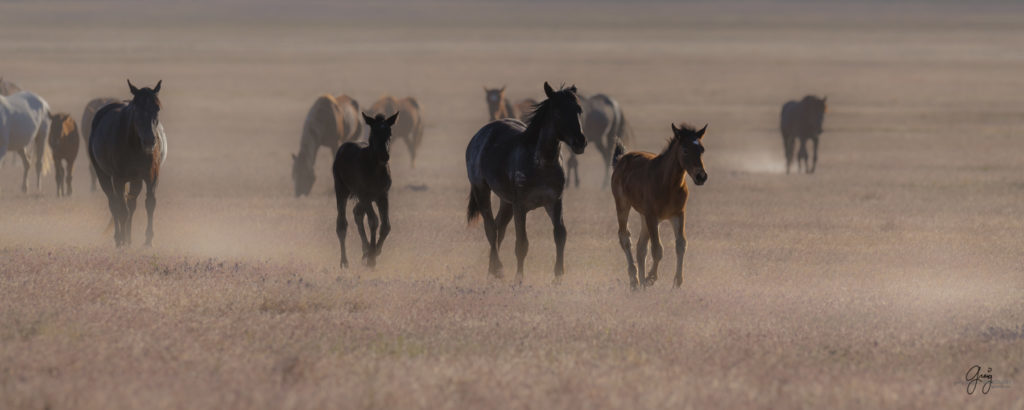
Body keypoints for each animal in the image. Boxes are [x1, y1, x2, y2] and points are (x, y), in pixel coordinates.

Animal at [88, 79, 165, 247]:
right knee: (114, 203)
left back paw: (128, 238)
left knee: (131, 204)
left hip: (135, 180)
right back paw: (119, 238)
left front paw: (148, 239)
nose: (149, 141)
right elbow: (121, 209)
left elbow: (150, 203)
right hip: (104, 176)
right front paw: (122, 241)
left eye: (157, 107)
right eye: (135, 109)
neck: (134, 145)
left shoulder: (151, 176)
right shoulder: (118, 179)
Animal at [335, 111, 399, 268]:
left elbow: (386, 225)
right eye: (374, 132)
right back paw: (344, 261)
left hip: (366, 198)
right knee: (342, 223)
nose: (384, 156)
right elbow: (374, 221)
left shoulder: (383, 195)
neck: (375, 169)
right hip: (342, 189)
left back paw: (364, 249)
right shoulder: (364, 194)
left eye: (389, 133)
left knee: (357, 213)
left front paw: (375, 252)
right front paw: (371, 257)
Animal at [610, 121, 708, 289]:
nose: (701, 176)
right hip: (623, 205)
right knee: (625, 237)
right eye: (685, 150)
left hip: (643, 216)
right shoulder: (652, 216)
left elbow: (681, 245)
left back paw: (641, 283)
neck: (667, 183)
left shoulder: (678, 214)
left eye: (701, 150)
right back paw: (634, 280)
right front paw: (652, 277)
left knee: (640, 247)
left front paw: (677, 281)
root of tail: (621, 159)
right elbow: (657, 249)